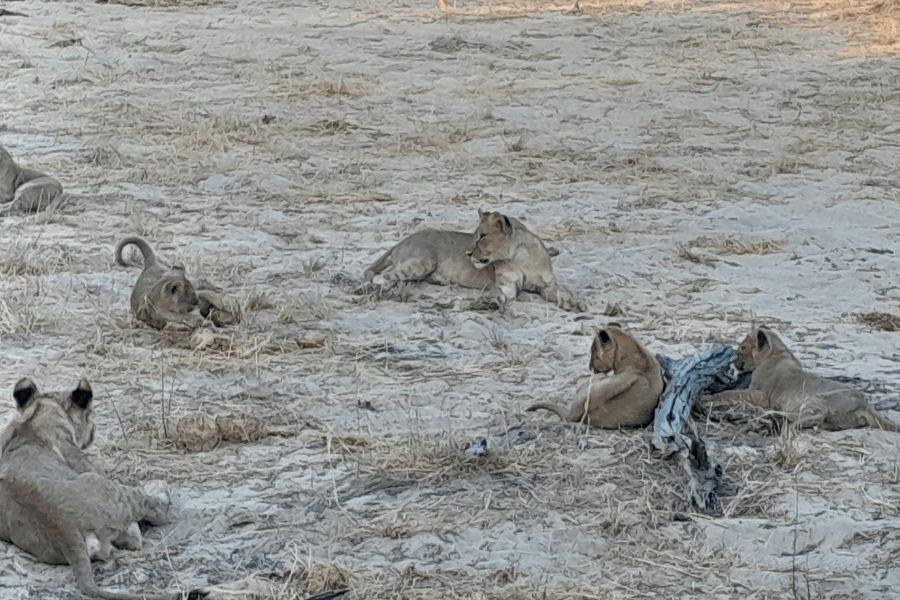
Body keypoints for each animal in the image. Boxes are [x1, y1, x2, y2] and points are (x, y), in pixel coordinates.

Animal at [0, 378, 201, 600]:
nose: (94, 433)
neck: (33, 417)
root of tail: (65, 529)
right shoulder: (85, 462)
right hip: (110, 489)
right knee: (151, 517)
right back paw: (160, 490)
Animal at [364, 210, 586, 312]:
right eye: (474, 235)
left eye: (482, 236)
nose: (468, 254)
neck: (520, 257)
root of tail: (401, 242)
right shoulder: (507, 284)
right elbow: (501, 294)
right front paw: (490, 301)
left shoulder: (548, 283)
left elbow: (563, 290)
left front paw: (574, 302)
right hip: (421, 262)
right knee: (383, 276)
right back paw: (381, 287)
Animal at [699, 328, 900, 432]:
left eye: (742, 348)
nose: (733, 361)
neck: (778, 352)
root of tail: (865, 403)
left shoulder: (759, 394)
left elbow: (730, 394)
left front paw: (705, 399)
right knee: (816, 420)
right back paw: (774, 418)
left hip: (817, 399)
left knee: (816, 415)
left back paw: (776, 422)